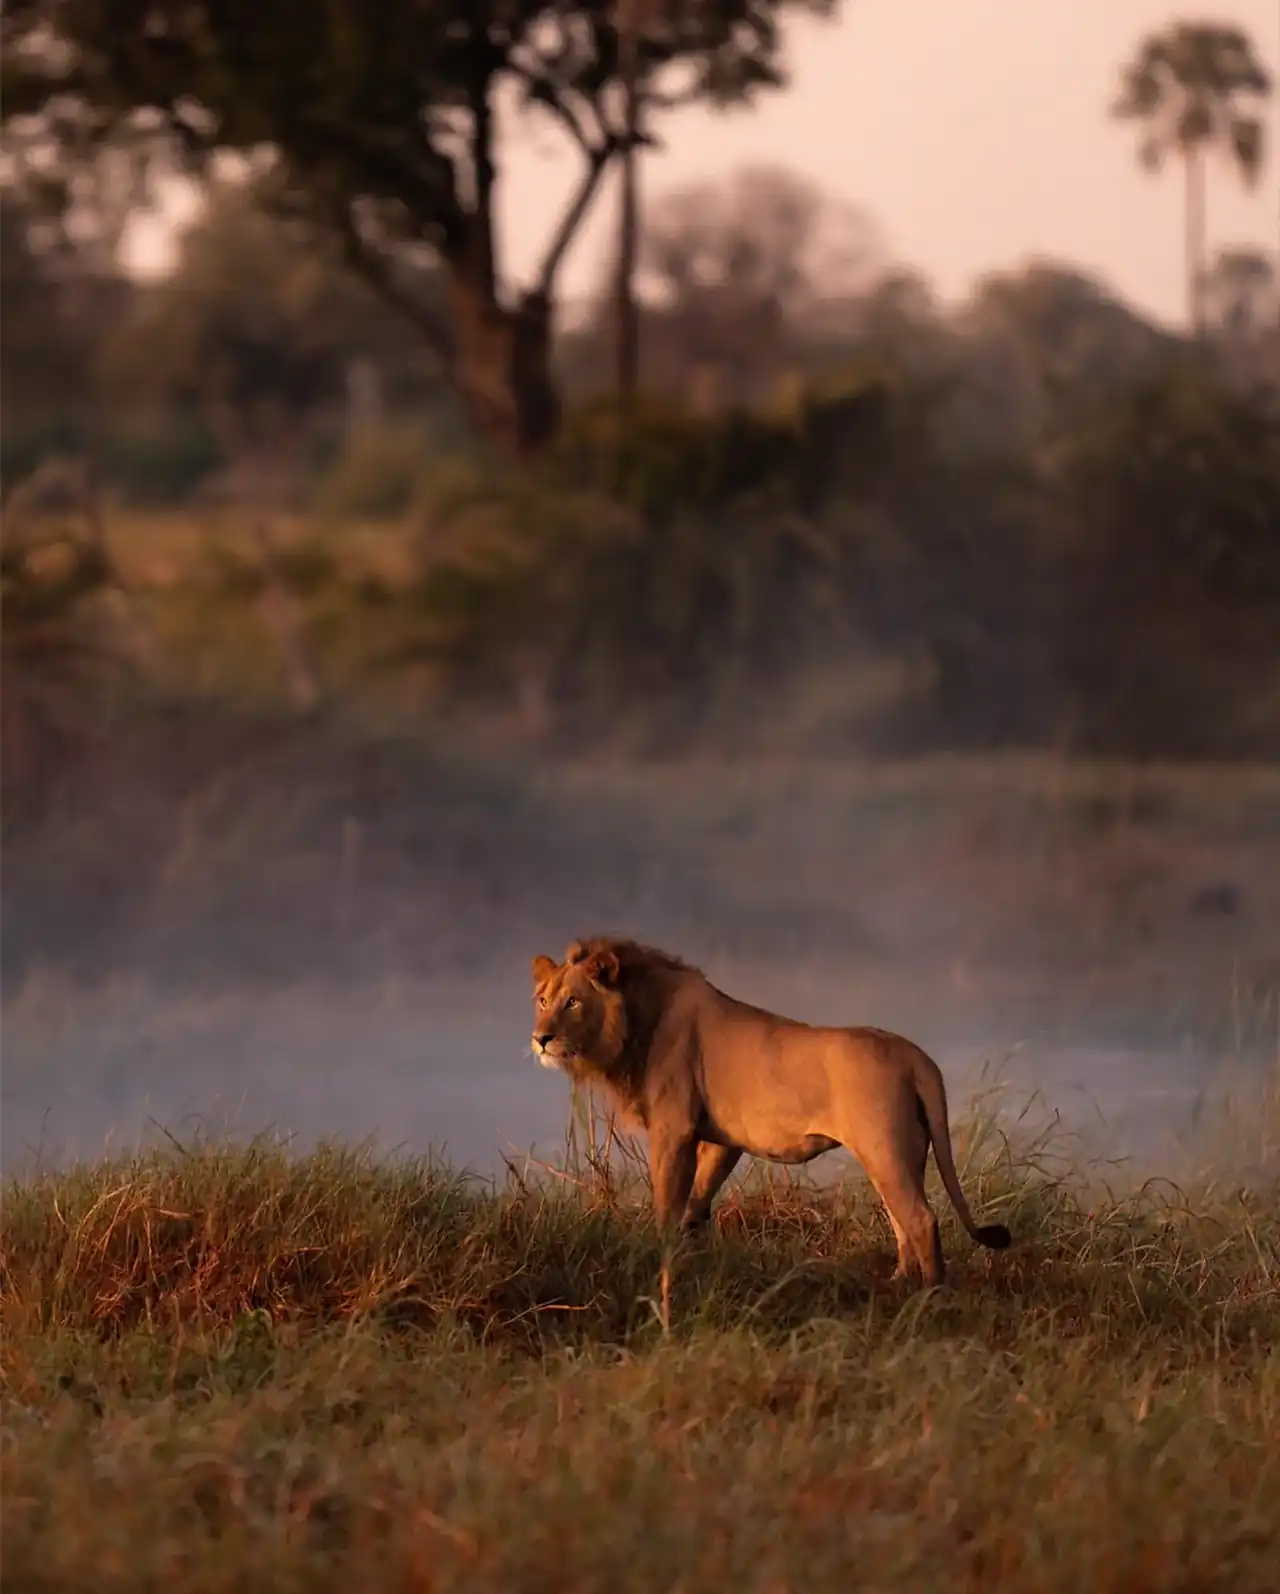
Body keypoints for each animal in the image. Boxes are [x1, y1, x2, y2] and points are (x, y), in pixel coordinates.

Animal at [530, 936, 1012, 1287]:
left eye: (573, 1002)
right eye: (542, 1000)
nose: (540, 1039)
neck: (633, 1022)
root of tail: (916, 1056)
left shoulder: (673, 1130)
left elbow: (667, 1206)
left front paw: (658, 1262)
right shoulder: (723, 1141)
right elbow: (696, 1207)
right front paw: (691, 1258)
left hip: (885, 1148)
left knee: (921, 1220)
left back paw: (929, 1296)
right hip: (900, 1155)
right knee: (902, 1221)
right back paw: (898, 1284)